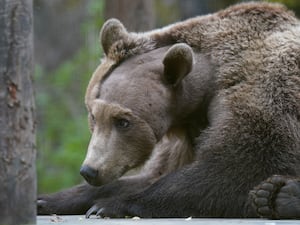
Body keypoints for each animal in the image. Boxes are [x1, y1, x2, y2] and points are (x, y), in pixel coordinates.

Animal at [37, 1, 300, 219]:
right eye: (93, 116)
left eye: (122, 121)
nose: (90, 170)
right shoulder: (185, 134)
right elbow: (155, 174)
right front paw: (47, 200)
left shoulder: (265, 95)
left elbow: (237, 168)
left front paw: (109, 205)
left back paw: (280, 195)